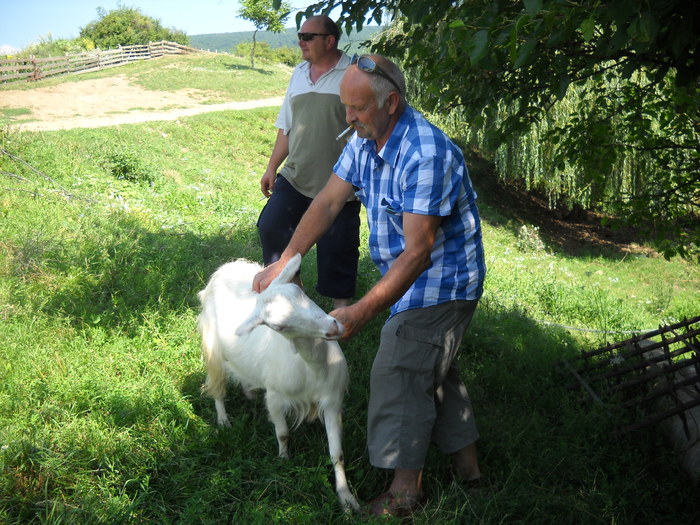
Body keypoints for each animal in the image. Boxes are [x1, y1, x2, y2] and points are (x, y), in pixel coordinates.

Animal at [197, 254, 360, 512]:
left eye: (299, 292)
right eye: (278, 327)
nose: (333, 326)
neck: (312, 369)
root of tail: (228, 266)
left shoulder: (332, 401)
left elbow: (337, 453)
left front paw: (346, 499)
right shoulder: (275, 397)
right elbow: (282, 433)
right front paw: (283, 460)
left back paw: (249, 393)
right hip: (211, 343)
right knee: (216, 385)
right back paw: (223, 420)